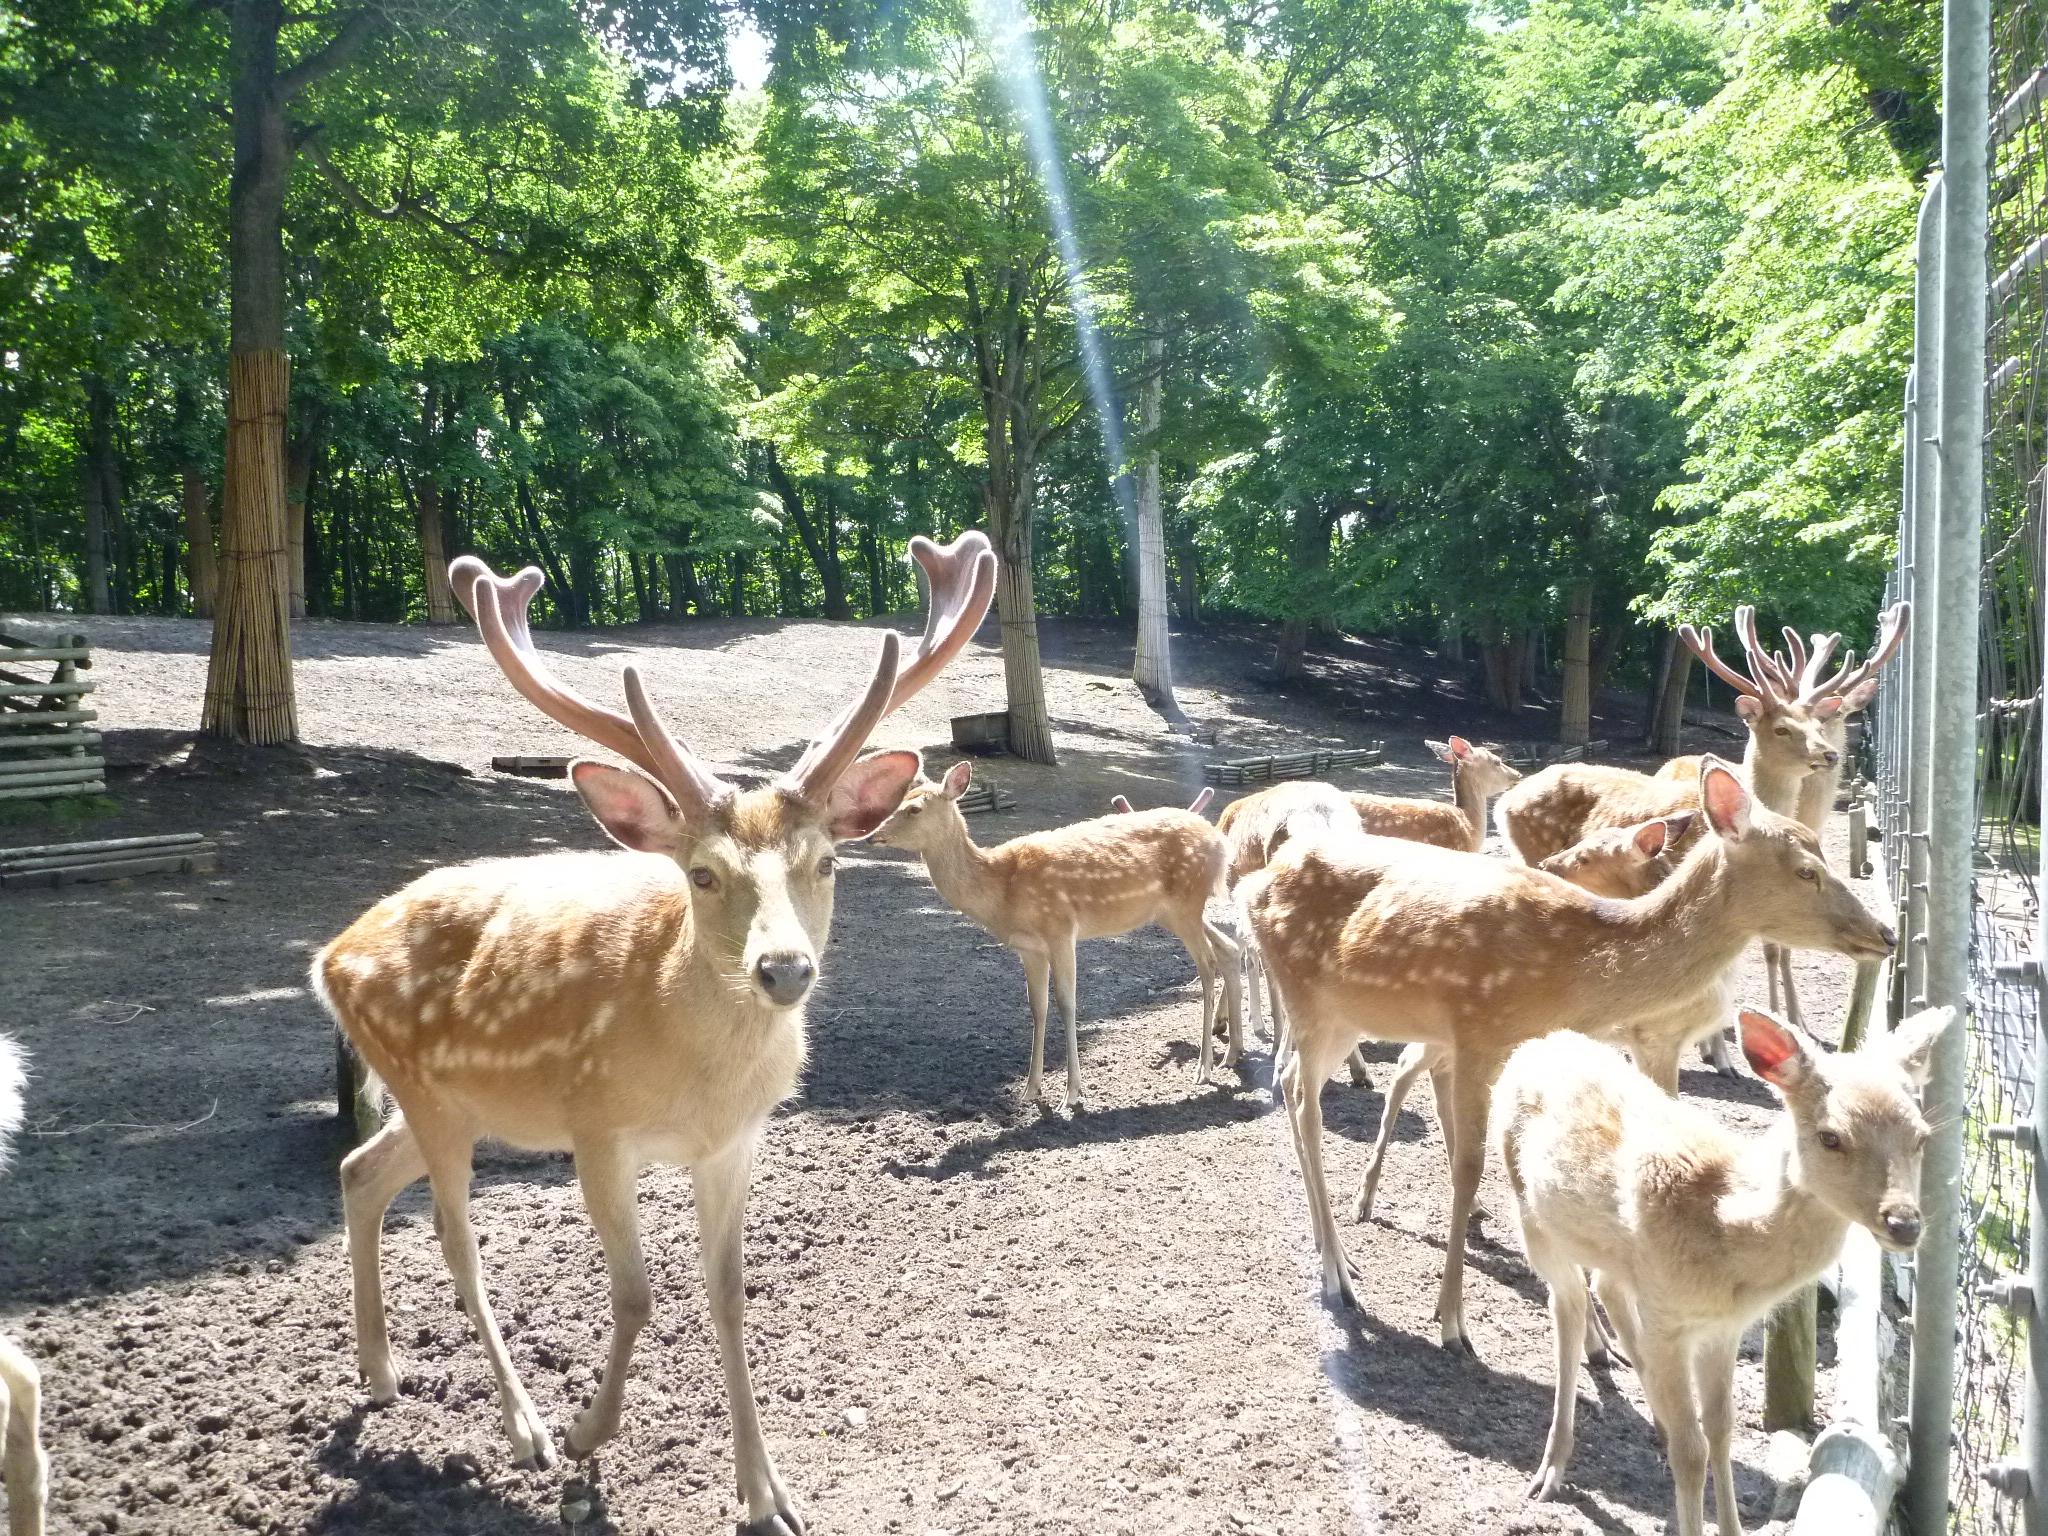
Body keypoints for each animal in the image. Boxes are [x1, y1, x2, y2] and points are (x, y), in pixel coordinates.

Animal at [307, 532, 995, 1536]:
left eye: (827, 862)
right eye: (702, 874)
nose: (783, 968)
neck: (695, 1082)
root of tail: (328, 955)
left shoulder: (735, 1144)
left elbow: (729, 1295)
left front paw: (768, 1498)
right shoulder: (597, 1128)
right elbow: (634, 1294)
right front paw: (590, 1436)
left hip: (447, 1102)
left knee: (360, 1173)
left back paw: (382, 1370)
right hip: (426, 1092)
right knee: (452, 1234)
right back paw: (525, 1427)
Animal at [864, 765, 1228, 1105]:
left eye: (915, 809)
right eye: (900, 799)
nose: (871, 836)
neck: (1003, 890)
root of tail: (1218, 841)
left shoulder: (1061, 929)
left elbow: (1067, 1003)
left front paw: (1073, 1092)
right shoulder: (1029, 948)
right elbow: (1037, 1007)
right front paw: (1030, 1089)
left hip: (1186, 904)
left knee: (1208, 964)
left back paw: (1204, 1068)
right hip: (1172, 913)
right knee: (1223, 951)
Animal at [1228, 765, 1884, 1351]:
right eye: (1806, 870)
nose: (1885, 933)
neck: (1572, 973)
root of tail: (1248, 889)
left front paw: (1596, 1337)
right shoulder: (1480, 1030)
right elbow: (1469, 1167)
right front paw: (1452, 1323)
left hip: (1344, 1015)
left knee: (1291, 1078)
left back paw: (1328, 1249)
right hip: (1310, 998)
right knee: (1301, 1095)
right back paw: (1338, 1274)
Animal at [1499, 1011, 1941, 1536]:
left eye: (1922, 1137)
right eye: (1830, 1136)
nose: (1904, 1223)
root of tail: (1536, 1044)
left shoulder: (1722, 1328)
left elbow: (1721, 1430)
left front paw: (1730, 1523)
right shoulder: (1668, 1320)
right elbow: (1692, 1451)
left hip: (1609, 1253)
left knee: (1605, 1286)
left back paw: (1651, 1415)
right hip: (1531, 1213)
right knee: (1564, 1304)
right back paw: (1551, 1469)